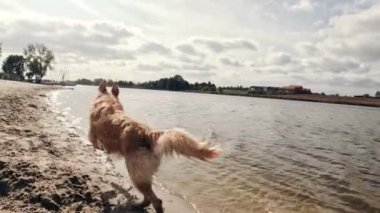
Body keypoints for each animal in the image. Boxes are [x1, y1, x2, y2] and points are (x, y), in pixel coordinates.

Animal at [89, 80, 220, 212]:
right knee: (149, 198)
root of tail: (147, 134)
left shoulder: (92, 133)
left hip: (136, 173)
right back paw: (138, 204)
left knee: (156, 200)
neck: (109, 102)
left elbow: (94, 143)